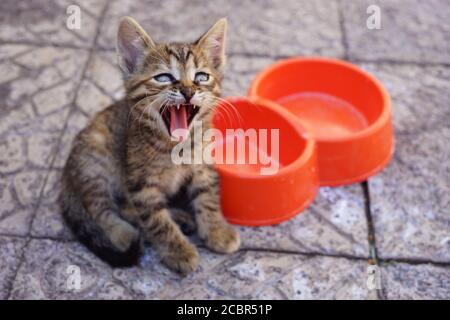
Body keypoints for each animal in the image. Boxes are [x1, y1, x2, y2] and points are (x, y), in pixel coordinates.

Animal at [62, 16, 243, 274]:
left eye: (201, 77)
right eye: (164, 77)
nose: (188, 91)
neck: (177, 149)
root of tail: (66, 176)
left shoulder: (203, 167)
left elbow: (207, 196)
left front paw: (217, 230)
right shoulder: (141, 185)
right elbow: (157, 221)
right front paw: (179, 250)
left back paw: (179, 218)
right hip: (95, 161)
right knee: (102, 207)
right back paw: (125, 234)